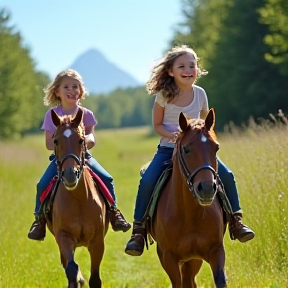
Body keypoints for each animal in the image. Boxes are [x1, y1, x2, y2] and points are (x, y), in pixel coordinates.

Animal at [46, 108, 109, 288]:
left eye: (81, 140)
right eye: (55, 140)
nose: (69, 175)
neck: (79, 199)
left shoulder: (97, 242)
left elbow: (95, 279)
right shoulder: (64, 237)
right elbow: (72, 269)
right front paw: (78, 279)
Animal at [151, 108, 227, 288]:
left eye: (216, 148)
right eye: (186, 149)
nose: (207, 189)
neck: (190, 214)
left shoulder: (216, 250)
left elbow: (220, 280)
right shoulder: (168, 257)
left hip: (192, 260)